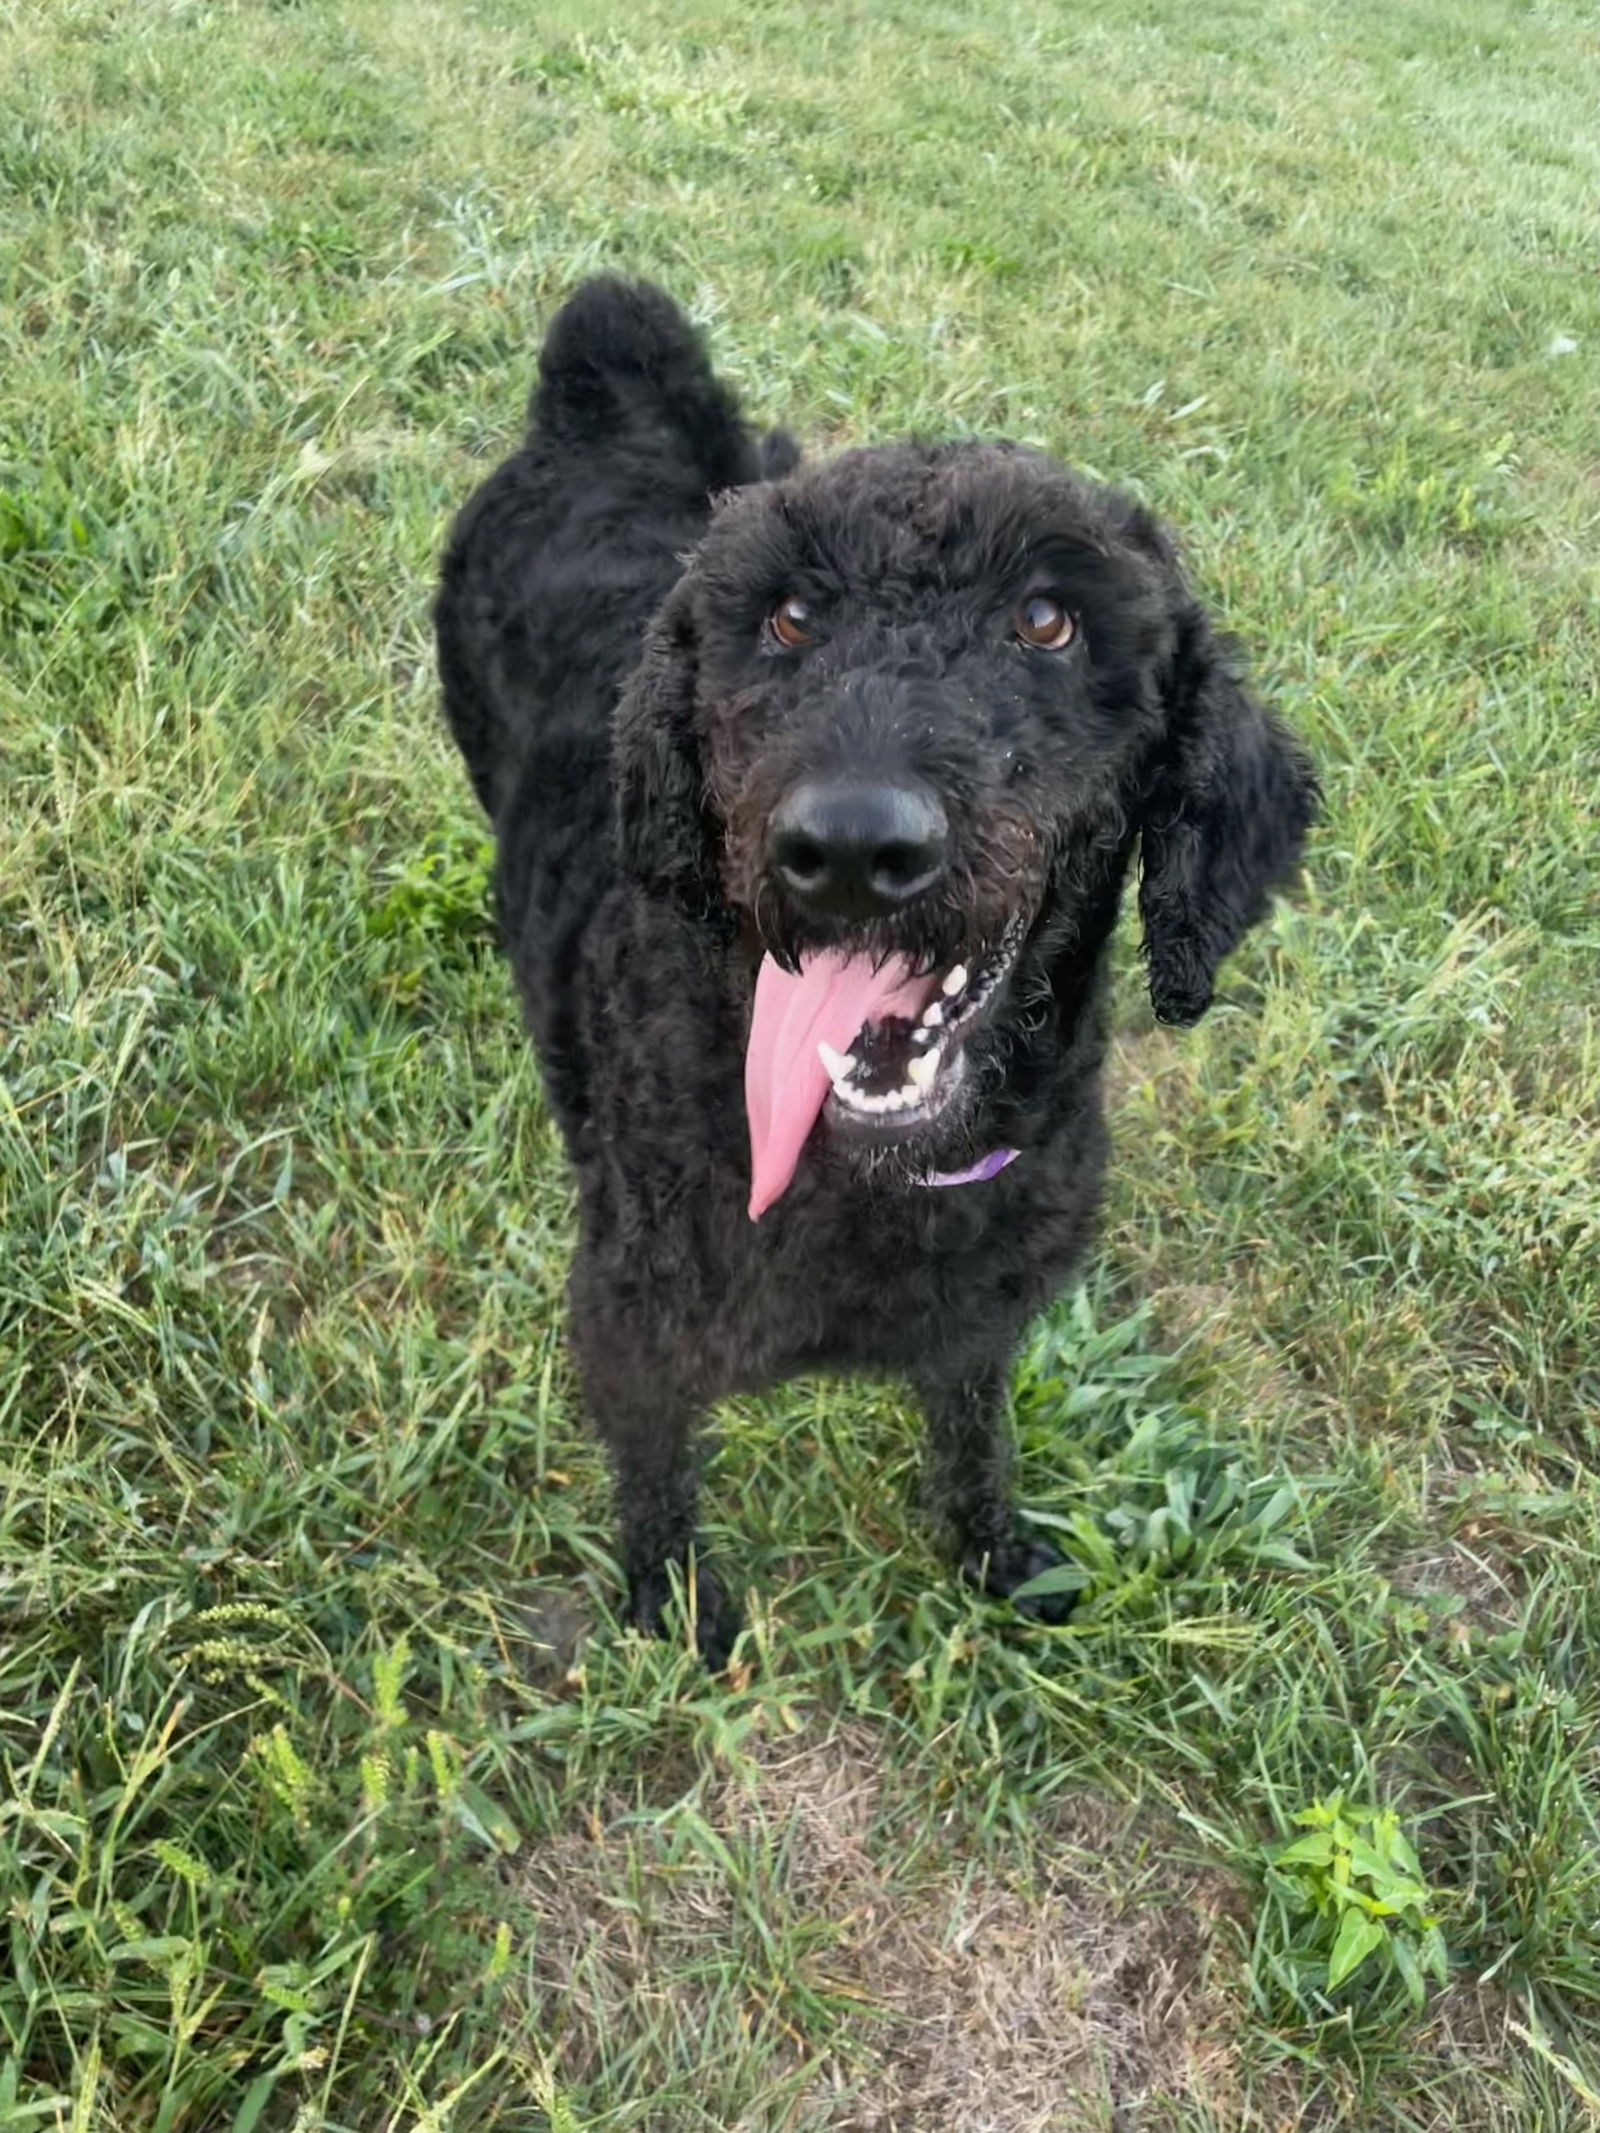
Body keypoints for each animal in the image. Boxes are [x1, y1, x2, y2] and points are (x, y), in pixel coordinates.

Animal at [439, 275, 1314, 1655]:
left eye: (1047, 619)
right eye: (788, 617)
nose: (849, 849)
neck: (872, 1175)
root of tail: (603, 408)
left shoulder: (982, 1323)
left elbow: (974, 1442)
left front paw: (995, 1556)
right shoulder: (631, 1331)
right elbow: (656, 1487)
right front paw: (672, 1610)